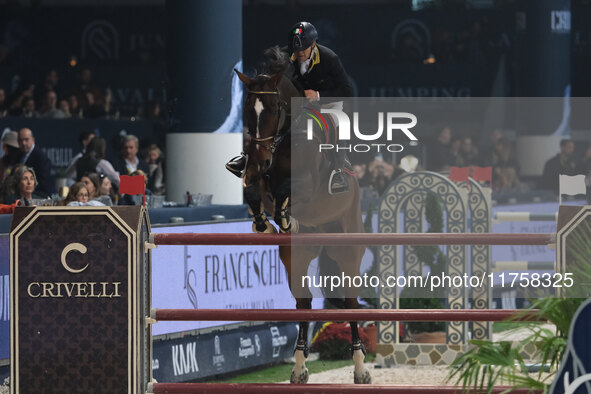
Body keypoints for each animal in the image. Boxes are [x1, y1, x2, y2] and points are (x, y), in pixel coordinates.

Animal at [235, 63, 370, 382]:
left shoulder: (306, 184)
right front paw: (264, 224)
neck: (285, 139)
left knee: (350, 302)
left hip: (348, 249)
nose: (261, 160)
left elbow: (288, 190)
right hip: (296, 256)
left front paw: (284, 219)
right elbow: (253, 191)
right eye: (247, 110)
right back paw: (299, 366)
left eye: (273, 108)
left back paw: (360, 368)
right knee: (304, 302)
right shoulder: (256, 176)